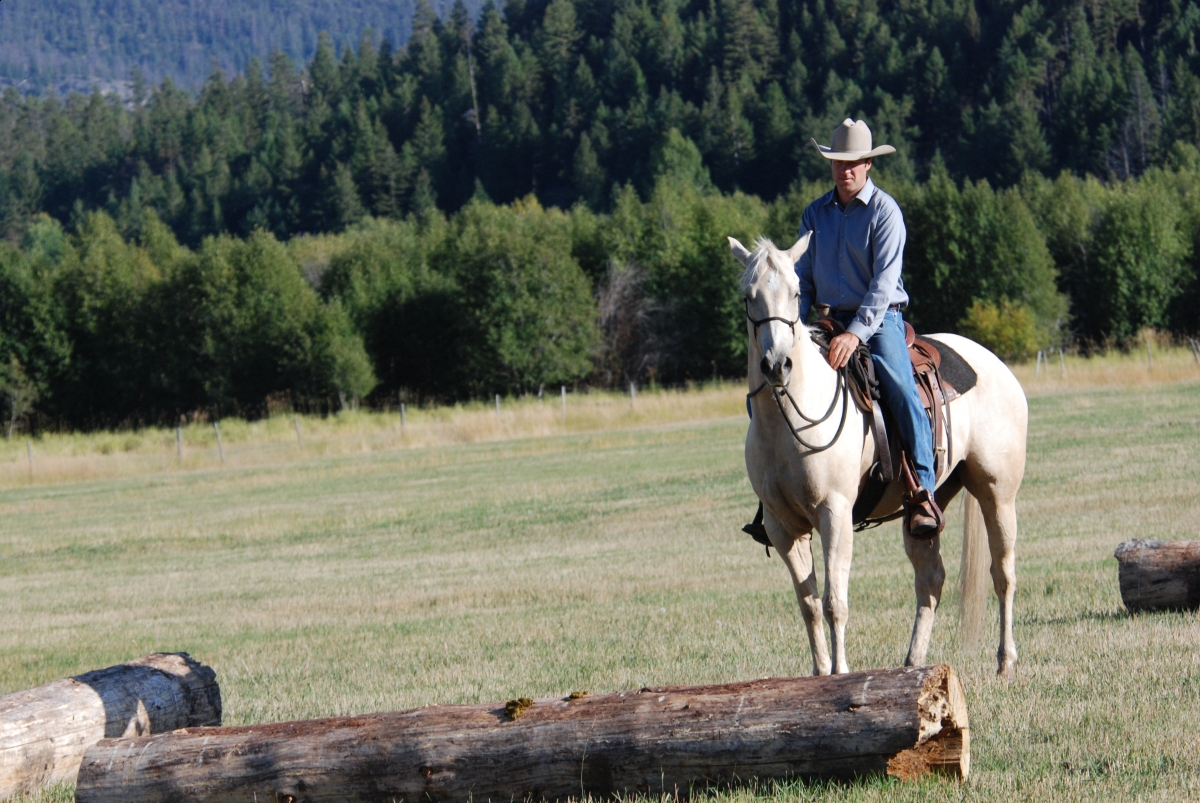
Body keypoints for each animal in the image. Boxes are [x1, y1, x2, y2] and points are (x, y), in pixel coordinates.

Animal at [729, 235, 1027, 677]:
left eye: (796, 292)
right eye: (750, 296)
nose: (777, 364)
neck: (789, 421)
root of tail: (994, 363)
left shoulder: (834, 513)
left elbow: (835, 601)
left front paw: (840, 673)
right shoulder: (784, 529)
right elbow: (809, 604)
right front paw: (819, 673)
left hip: (997, 493)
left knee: (1002, 572)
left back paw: (1005, 661)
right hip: (927, 506)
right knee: (931, 578)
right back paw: (913, 663)